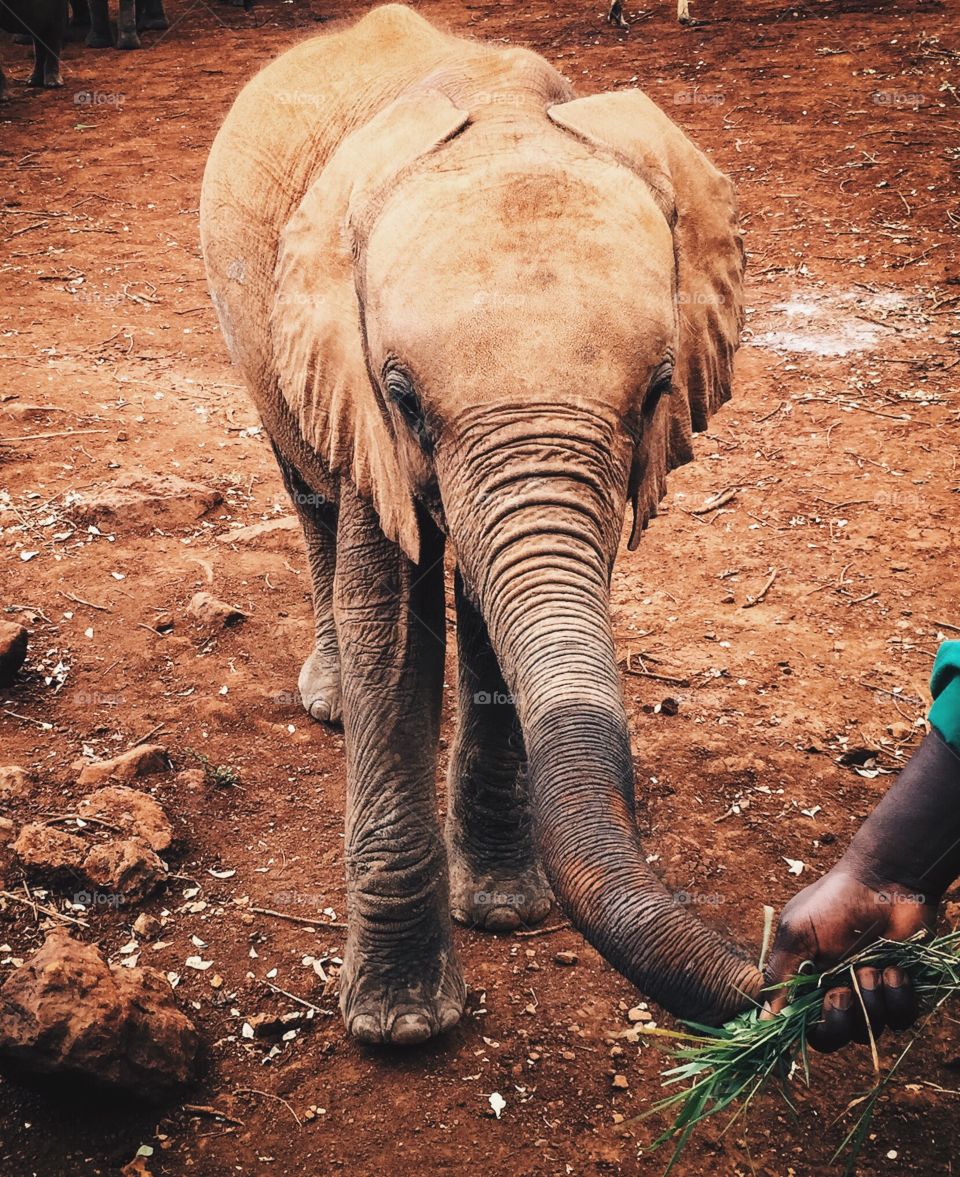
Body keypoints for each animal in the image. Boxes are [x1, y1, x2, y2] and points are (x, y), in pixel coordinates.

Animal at [200, 4, 763, 1046]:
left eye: (659, 388)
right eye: (403, 398)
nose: (809, 971)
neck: (505, 110)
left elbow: (506, 614)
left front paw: (506, 912)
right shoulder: (350, 374)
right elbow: (391, 620)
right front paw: (403, 1030)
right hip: (249, 331)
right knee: (310, 497)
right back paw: (329, 700)